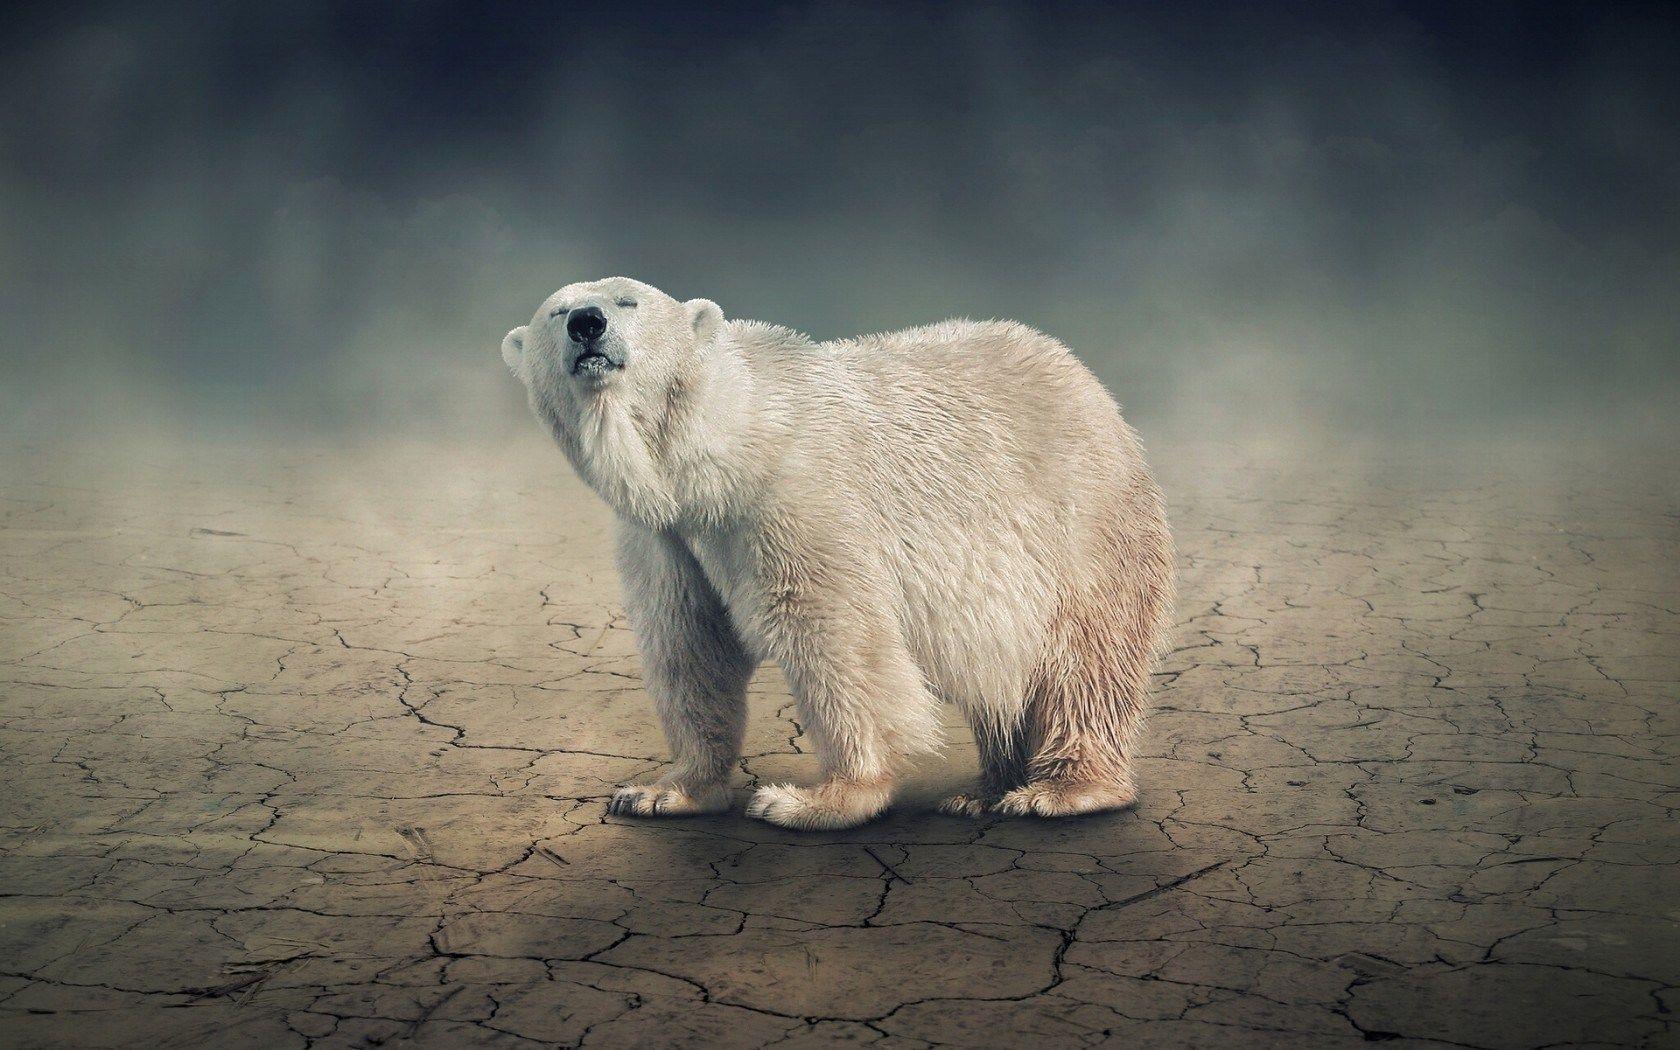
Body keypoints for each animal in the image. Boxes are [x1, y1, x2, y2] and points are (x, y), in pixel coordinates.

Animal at [501, 277, 1174, 830]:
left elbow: (835, 634)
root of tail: (1092, 388)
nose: (586, 322)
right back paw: (982, 790)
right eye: (556, 309)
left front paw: (814, 799)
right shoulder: (665, 537)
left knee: (1082, 660)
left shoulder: (796, 495)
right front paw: (662, 791)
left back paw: (1060, 790)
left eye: (627, 301)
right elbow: (690, 645)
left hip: (1080, 526)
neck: (721, 450)